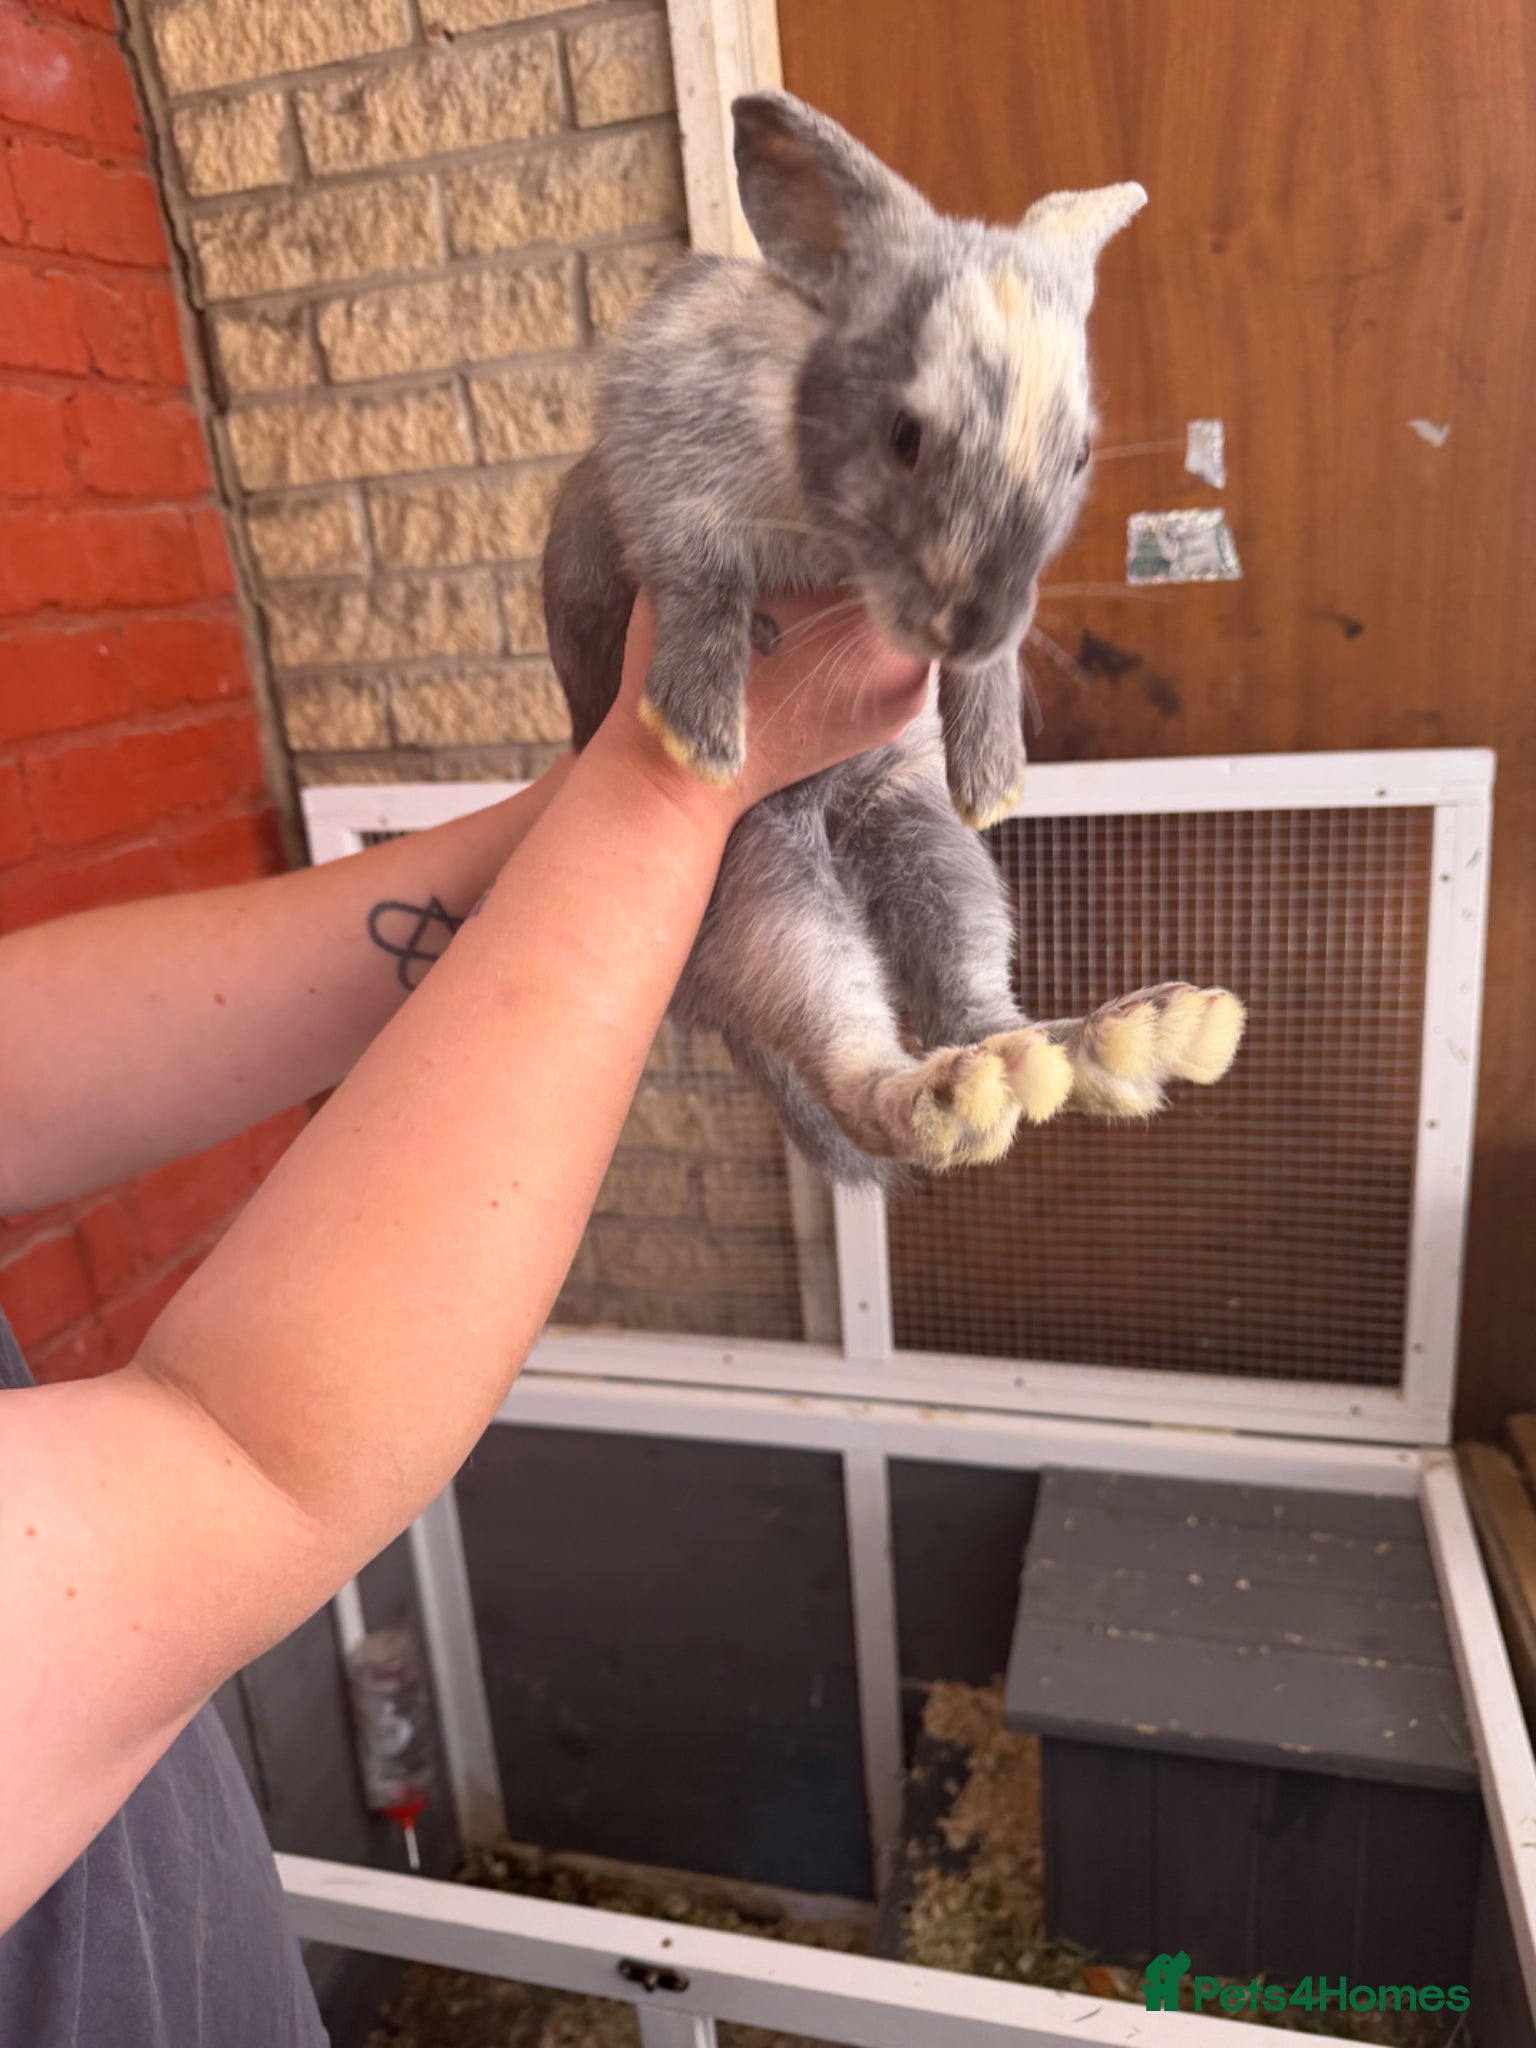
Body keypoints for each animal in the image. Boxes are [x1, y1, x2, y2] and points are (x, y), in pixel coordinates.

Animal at [542, 90, 1245, 1192]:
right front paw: (698, 728)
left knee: (980, 1009)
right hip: (764, 882)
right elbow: (697, 581)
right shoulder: (661, 465)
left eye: (1079, 452)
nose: (976, 620)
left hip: (925, 843)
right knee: (859, 1070)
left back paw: (1124, 1040)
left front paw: (993, 770)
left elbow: (982, 685)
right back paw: (958, 1096)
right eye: (906, 436)